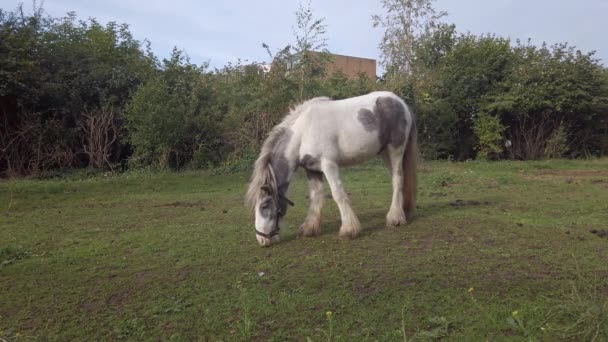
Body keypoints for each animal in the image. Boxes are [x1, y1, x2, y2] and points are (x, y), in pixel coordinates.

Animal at [245, 91, 416, 246]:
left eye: (264, 205)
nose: (262, 240)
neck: (304, 132)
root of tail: (401, 102)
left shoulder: (329, 164)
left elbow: (338, 194)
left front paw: (349, 229)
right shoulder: (312, 170)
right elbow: (315, 196)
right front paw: (310, 228)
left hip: (395, 149)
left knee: (397, 180)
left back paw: (395, 218)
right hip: (385, 153)